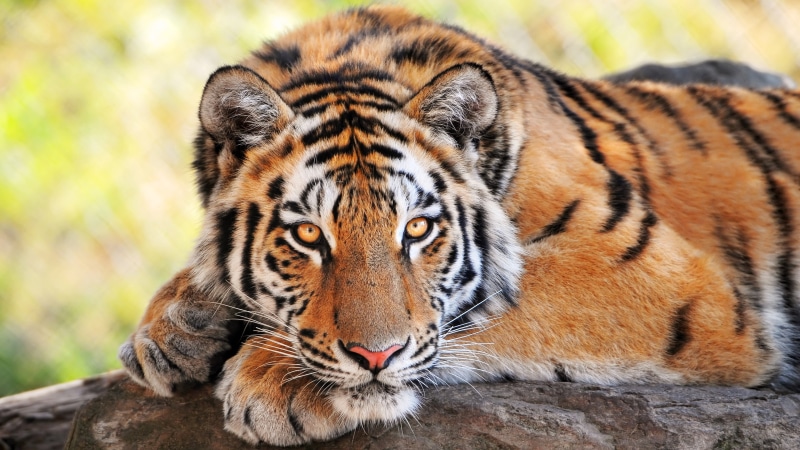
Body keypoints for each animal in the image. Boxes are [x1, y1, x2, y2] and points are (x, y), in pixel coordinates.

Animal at [118, 5, 800, 446]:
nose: (375, 356)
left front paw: (273, 379)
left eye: (417, 230)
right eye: (308, 235)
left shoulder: (663, 279)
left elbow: (486, 307)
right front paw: (173, 327)